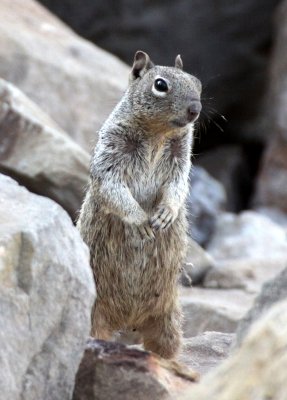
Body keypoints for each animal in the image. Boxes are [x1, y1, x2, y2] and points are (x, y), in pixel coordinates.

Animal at [77, 50, 202, 360]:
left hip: (169, 319)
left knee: (165, 348)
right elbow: (112, 186)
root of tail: (128, 321)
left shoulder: (181, 159)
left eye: (197, 82)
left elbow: (178, 185)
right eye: (160, 85)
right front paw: (141, 222)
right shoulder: (110, 155)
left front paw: (166, 213)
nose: (195, 109)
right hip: (93, 315)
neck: (158, 133)